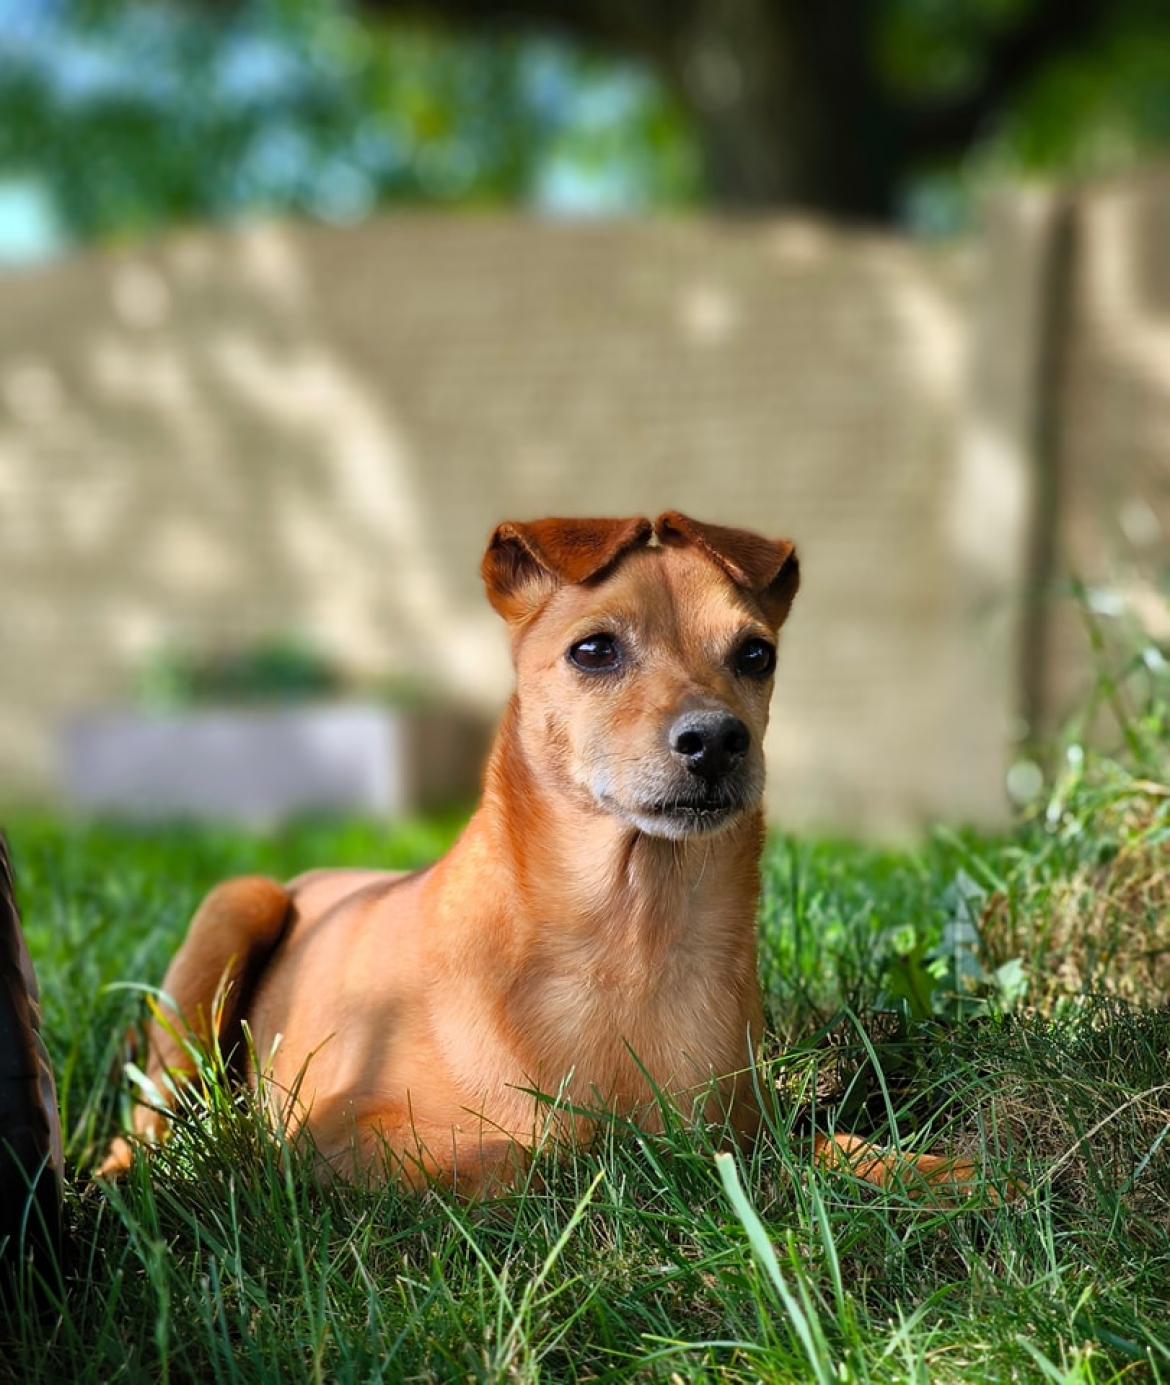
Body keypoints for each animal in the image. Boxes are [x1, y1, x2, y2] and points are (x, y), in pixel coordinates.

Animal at [102, 512, 792, 1191]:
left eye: (757, 655)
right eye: (594, 650)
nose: (715, 740)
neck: (630, 939)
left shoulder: (748, 1131)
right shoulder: (332, 1133)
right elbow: (529, 1156)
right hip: (232, 914)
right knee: (144, 1125)